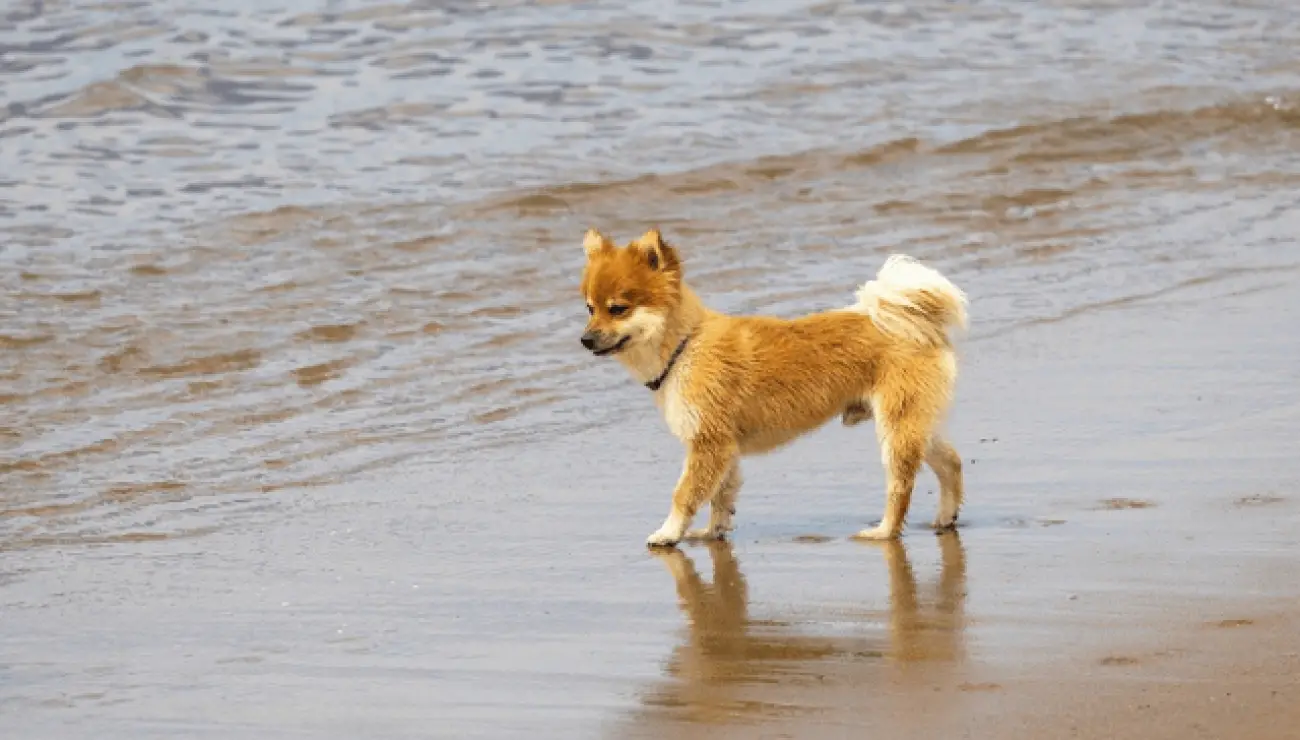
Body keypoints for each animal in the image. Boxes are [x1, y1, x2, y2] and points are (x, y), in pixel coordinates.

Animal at [579, 227, 967, 546]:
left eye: (618, 309)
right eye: (589, 308)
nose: (585, 339)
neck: (685, 346)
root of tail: (920, 323)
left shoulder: (708, 444)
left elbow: (685, 494)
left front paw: (668, 532)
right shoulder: (723, 447)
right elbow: (721, 495)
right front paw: (712, 531)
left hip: (895, 429)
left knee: (901, 485)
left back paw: (885, 530)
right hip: (915, 424)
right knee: (951, 462)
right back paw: (945, 517)